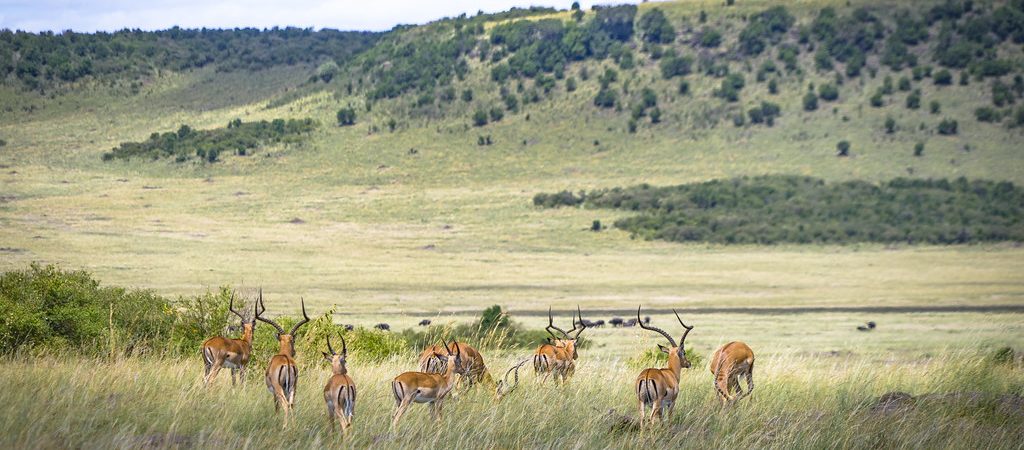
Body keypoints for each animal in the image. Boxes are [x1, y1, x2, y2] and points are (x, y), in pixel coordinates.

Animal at [255, 296, 311, 427]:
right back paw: (293, 427)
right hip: (293, 388)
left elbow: (276, 408)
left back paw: (284, 427)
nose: (294, 352)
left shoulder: (274, 392)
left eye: (293, 341)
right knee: (292, 405)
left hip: (279, 389)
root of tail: (287, 363)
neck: (283, 354)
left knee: (285, 405)